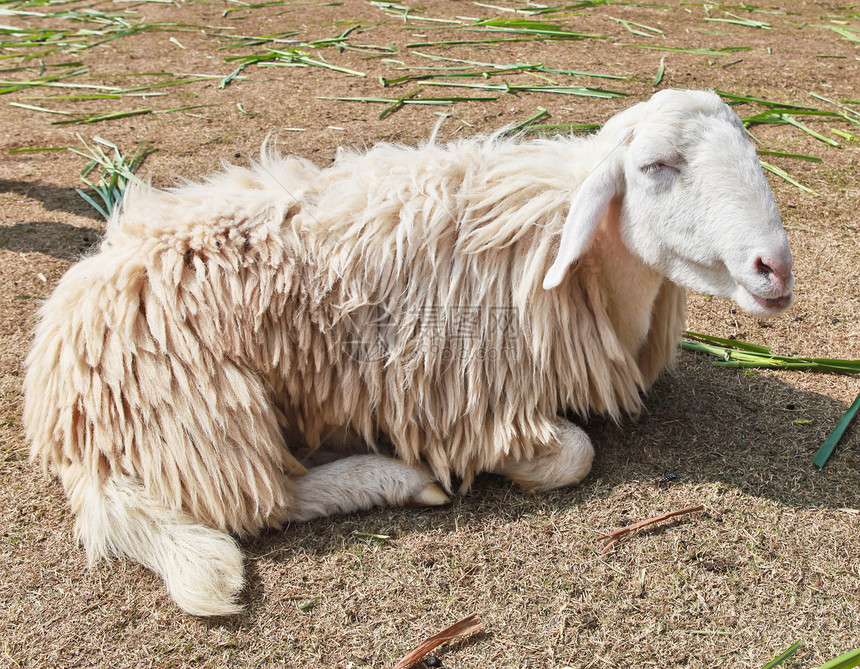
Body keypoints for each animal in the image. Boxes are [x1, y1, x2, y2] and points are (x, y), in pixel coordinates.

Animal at [23, 88, 796, 616]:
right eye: (657, 165)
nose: (775, 267)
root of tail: (66, 423)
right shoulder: (465, 400)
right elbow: (573, 454)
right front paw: (506, 464)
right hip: (211, 411)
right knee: (263, 501)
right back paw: (391, 476)